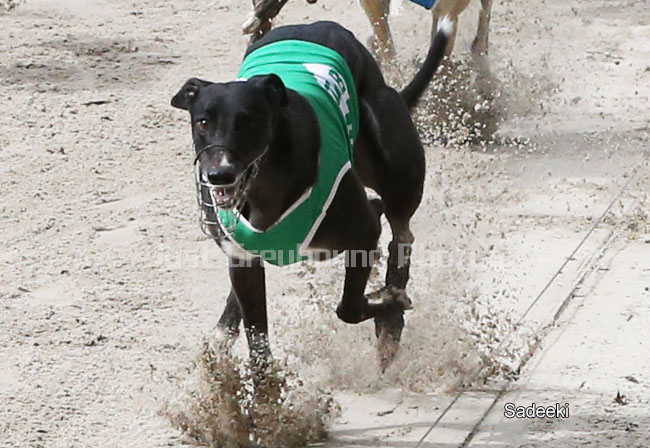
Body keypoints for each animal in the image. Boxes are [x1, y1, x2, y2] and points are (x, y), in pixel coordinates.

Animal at [171, 19, 452, 372]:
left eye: (249, 121)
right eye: (203, 122)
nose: (219, 174)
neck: (265, 187)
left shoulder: (363, 232)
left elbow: (348, 308)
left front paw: (389, 302)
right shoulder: (243, 261)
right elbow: (258, 343)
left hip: (396, 170)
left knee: (400, 232)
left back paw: (391, 319)